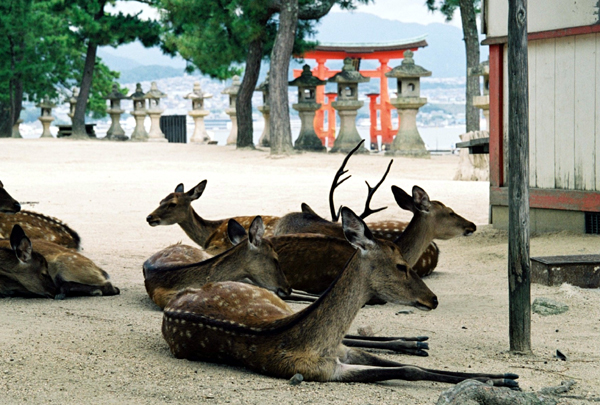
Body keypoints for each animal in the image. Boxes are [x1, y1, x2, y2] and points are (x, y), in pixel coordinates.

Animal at [162, 207, 516, 386]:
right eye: (401, 266)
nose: (433, 299)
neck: (319, 346)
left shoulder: (344, 353)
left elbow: (411, 366)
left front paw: (502, 377)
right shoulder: (325, 372)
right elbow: (408, 370)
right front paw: (497, 380)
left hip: (271, 300)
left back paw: (415, 341)